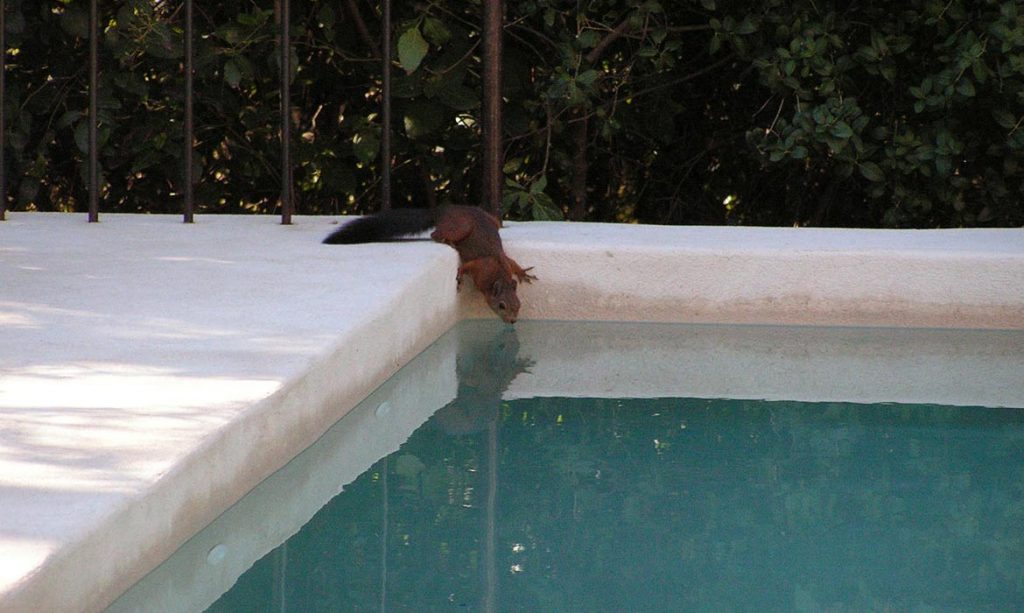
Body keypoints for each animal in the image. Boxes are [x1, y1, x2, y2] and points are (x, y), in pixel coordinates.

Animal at [323, 205, 536, 323]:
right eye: (501, 305)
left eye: (518, 305)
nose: (513, 321)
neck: (498, 274)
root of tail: (443, 210)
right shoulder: (481, 266)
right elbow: (466, 266)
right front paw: (459, 277)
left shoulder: (505, 261)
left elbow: (514, 263)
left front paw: (524, 273)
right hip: (461, 227)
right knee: (436, 233)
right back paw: (446, 241)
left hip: (492, 220)